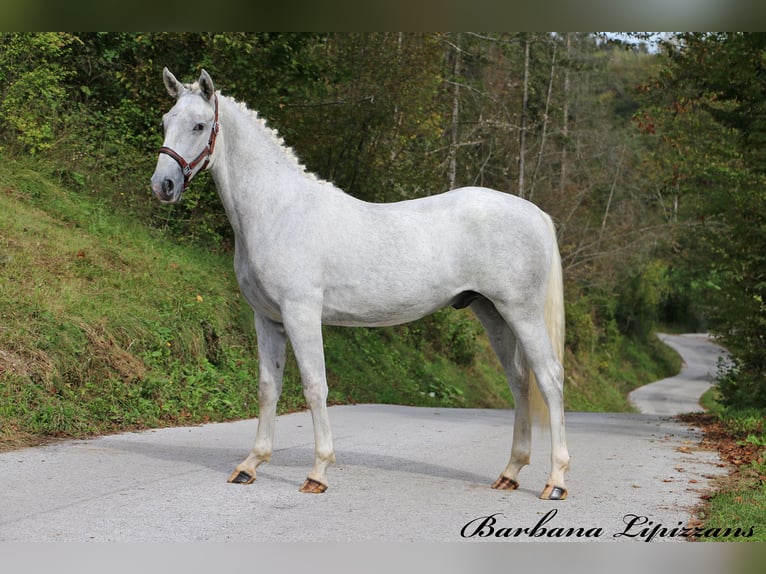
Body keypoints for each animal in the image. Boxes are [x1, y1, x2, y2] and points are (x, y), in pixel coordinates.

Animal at [150, 68, 568, 500]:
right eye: (166, 121)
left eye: (199, 126)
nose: (163, 185)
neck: (279, 210)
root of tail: (535, 212)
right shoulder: (267, 319)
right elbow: (268, 388)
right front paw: (250, 465)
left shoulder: (301, 314)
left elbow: (314, 386)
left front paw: (318, 472)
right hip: (492, 313)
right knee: (520, 382)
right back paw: (511, 472)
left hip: (522, 313)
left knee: (549, 379)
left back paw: (555, 482)